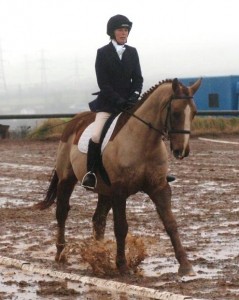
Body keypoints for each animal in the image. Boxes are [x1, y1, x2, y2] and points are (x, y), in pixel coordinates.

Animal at [36, 77, 202, 276]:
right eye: (176, 113)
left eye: (194, 113)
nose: (181, 151)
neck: (144, 142)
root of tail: (74, 121)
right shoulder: (119, 192)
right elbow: (121, 227)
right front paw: (122, 265)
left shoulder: (159, 187)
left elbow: (170, 223)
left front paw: (185, 265)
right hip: (66, 179)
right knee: (62, 212)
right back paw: (61, 253)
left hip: (104, 190)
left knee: (98, 220)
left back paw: (99, 254)